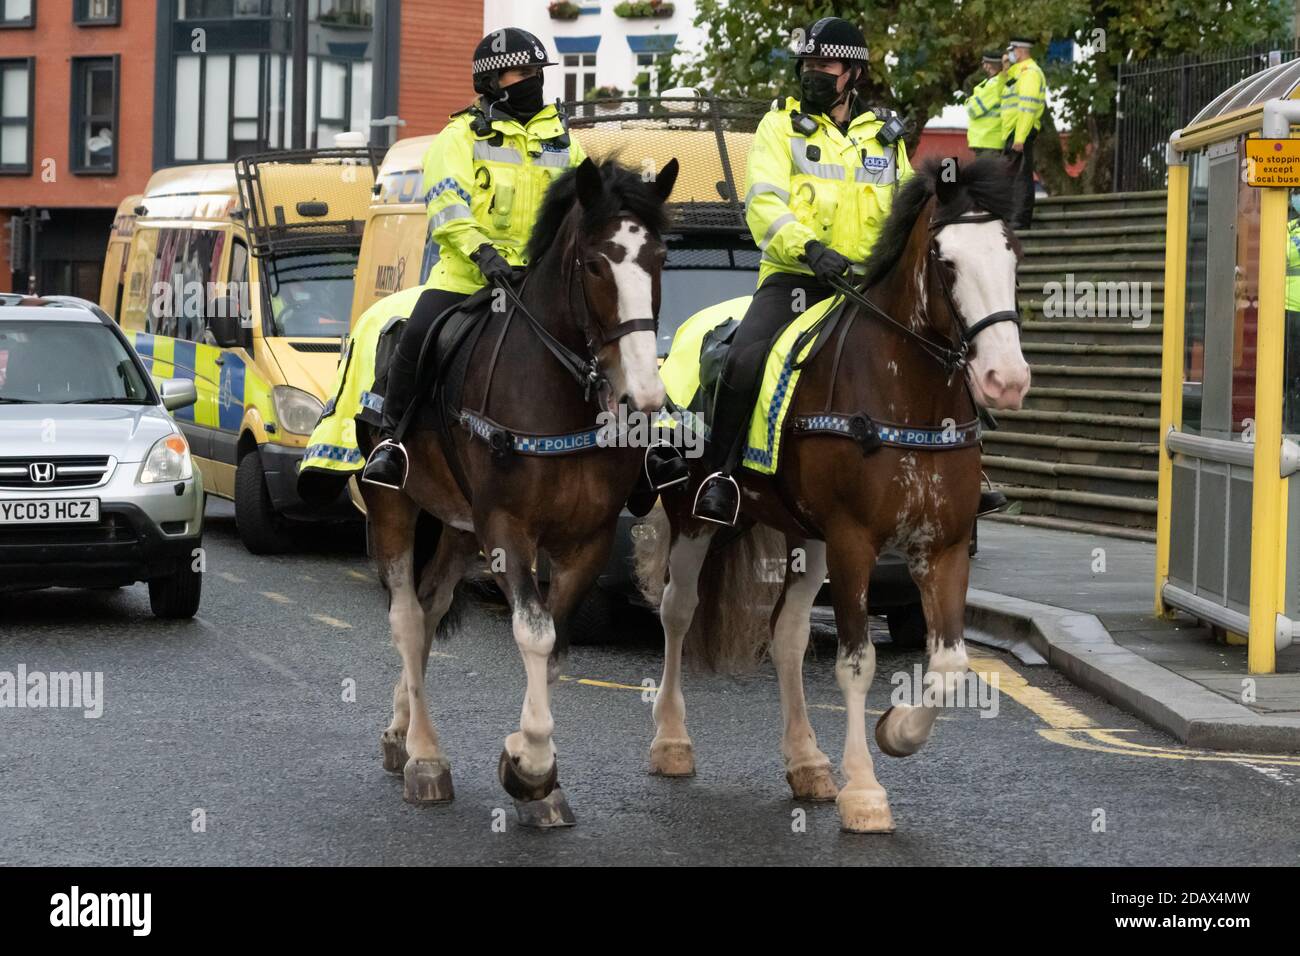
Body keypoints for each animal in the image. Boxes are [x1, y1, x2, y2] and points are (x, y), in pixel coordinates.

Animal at [358, 155, 681, 822]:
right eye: (595, 263)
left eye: (660, 256)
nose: (644, 394)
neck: (563, 395)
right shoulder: (508, 529)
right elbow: (534, 632)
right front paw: (529, 765)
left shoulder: (586, 541)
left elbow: (554, 645)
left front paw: (539, 777)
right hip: (393, 505)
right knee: (407, 619)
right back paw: (425, 757)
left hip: (458, 528)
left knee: (430, 608)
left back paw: (402, 735)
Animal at [634, 157, 1029, 832]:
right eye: (946, 262)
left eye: (1013, 255)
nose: (1006, 379)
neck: (907, 396)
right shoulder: (854, 543)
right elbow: (856, 663)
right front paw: (865, 793)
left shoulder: (942, 546)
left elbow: (950, 664)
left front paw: (897, 734)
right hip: (693, 515)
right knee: (676, 610)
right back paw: (671, 741)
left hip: (805, 534)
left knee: (788, 635)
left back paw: (807, 762)